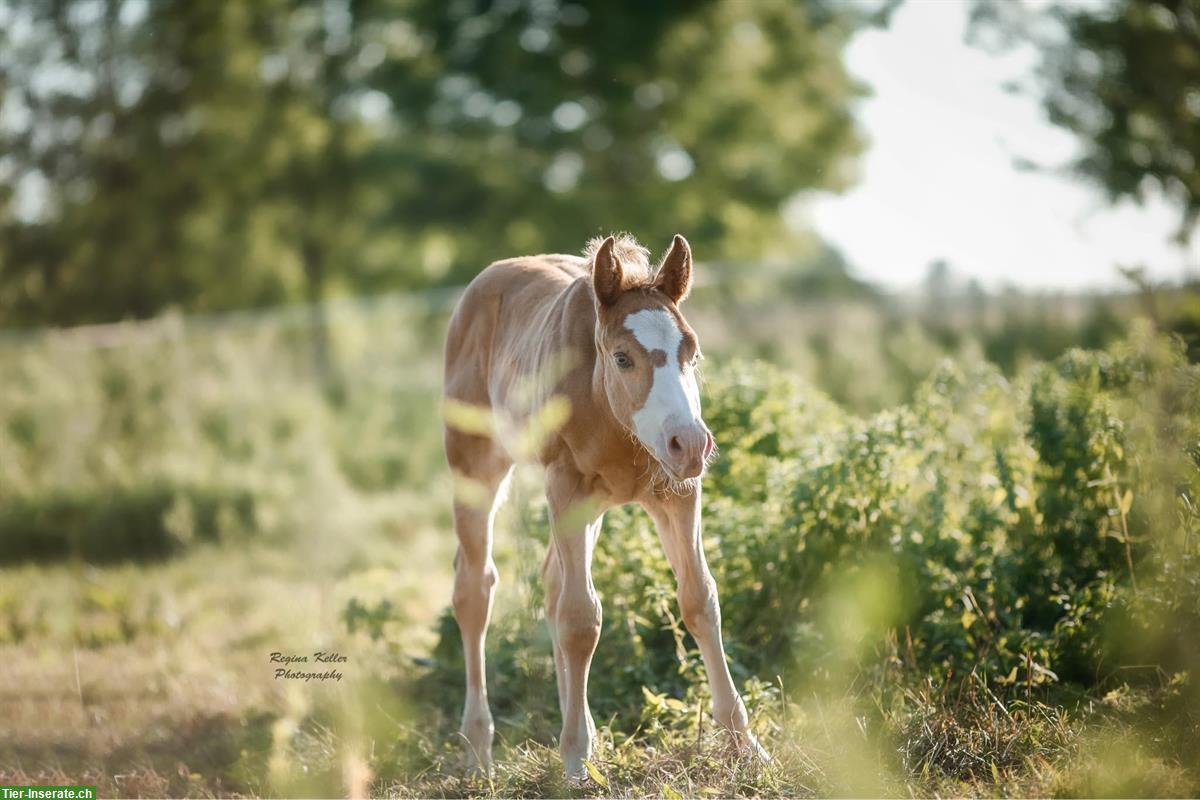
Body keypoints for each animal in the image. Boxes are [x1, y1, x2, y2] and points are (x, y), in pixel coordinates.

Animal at [441, 232, 758, 782]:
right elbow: (580, 619)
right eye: (622, 358)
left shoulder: (677, 492)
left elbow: (700, 600)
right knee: (475, 588)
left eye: (692, 354)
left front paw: (747, 746)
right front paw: (575, 761)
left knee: (551, 582)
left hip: (594, 507)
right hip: (476, 466)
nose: (691, 444)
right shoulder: (566, 489)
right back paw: (480, 751)